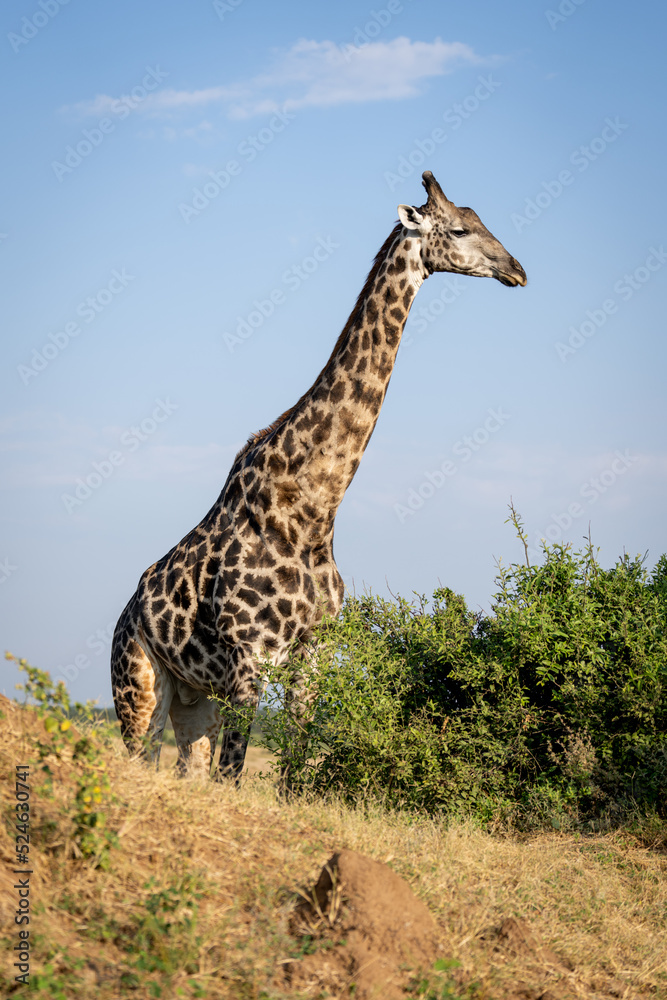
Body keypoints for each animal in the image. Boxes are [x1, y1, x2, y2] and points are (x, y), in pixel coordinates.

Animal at [111, 170, 526, 781]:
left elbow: (291, 772)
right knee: (140, 761)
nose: (516, 269)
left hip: (195, 699)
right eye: (458, 229)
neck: (312, 509)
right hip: (139, 688)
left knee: (190, 769)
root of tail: (125, 615)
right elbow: (236, 775)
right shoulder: (250, 657)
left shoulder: (313, 655)